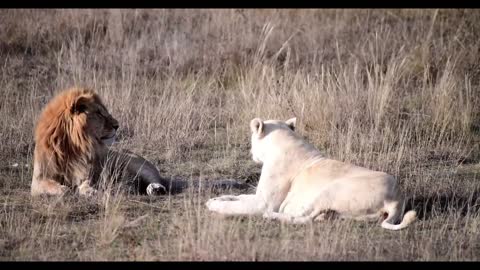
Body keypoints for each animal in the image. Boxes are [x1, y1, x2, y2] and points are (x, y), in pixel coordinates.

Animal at [30, 87, 169, 197]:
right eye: (99, 114)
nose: (117, 125)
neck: (72, 147)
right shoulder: (37, 180)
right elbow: (51, 186)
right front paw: (64, 189)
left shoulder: (88, 173)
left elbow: (86, 183)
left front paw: (89, 191)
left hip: (130, 162)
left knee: (156, 179)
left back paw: (155, 189)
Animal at [206, 117, 416, 231]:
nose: (251, 153)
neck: (284, 141)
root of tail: (397, 198)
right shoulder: (258, 195)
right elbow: (239, 196)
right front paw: (217, 198)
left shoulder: (264, 202)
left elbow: (236, 206)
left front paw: (214, 205)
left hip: (331, 189)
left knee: (304, 219)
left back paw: (272, 216)